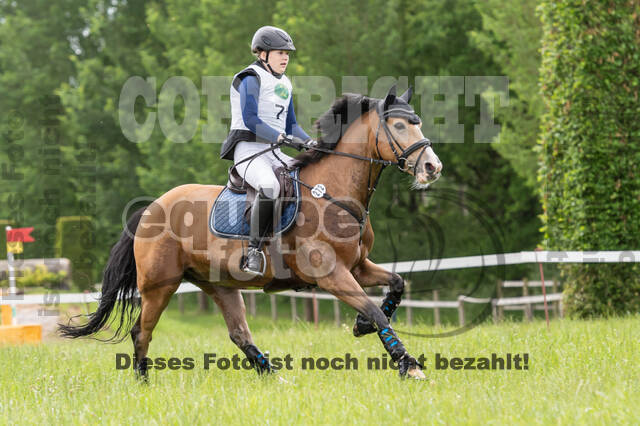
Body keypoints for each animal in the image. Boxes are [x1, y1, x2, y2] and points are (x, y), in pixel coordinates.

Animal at [59, 84, 442, 380]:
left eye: (418, 123)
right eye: (399, 125)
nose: (432, 167)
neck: (333, 192)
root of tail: (150, 207)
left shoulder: (358, 267)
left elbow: (397, 285)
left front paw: (362, 325)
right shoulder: (332, 274)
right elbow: (377, 311)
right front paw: (408, 365)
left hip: (219, 284)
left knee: (239, 333)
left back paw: (275, 376)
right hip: (159, 285)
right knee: (142, 331)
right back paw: (143, 383)